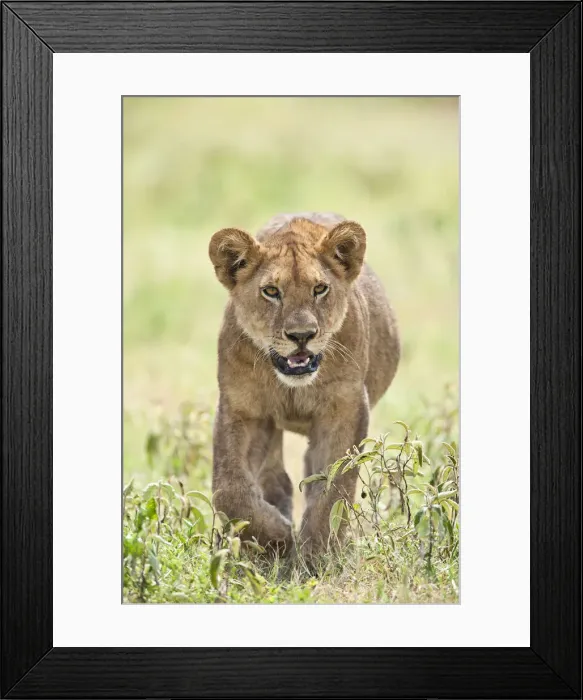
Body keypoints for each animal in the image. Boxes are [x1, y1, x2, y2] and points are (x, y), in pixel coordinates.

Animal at [208, 212, 400, 554]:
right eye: (271, 291)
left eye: (320, 289)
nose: (301, 336)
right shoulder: (241, 408)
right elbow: (229, 489)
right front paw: (276, 538)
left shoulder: (345, 408)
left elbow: (335, 488)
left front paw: (318, 553)